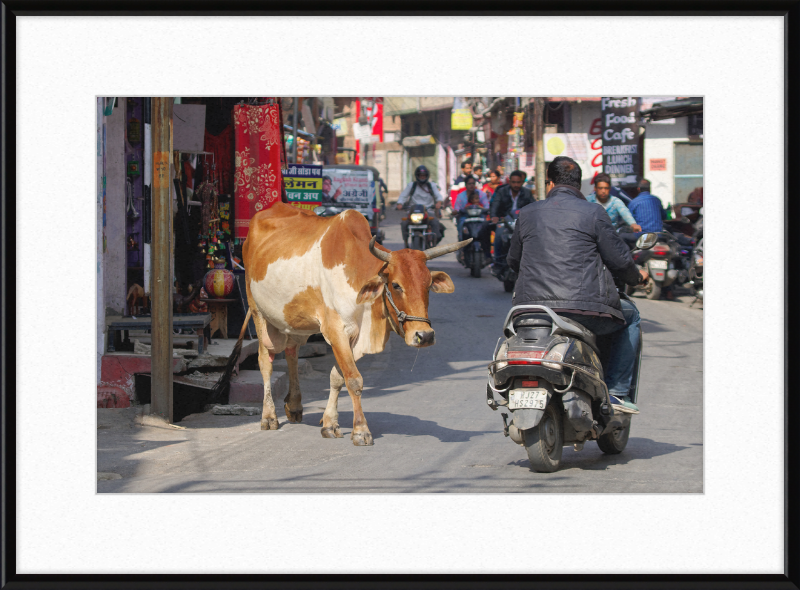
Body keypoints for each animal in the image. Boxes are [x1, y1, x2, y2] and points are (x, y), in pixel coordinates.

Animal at [233, 201, 468, 446]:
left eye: (428, 285)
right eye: (396, 285)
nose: (425, 336)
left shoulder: (354, 336)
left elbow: (337, 377)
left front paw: (329, 424)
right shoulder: (336, 331)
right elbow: (354, 380)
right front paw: (360, 430)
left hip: (293, 321)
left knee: (292, 353)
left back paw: (295, 405)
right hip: (258, 311)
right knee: (265, 361)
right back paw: (269, 416)